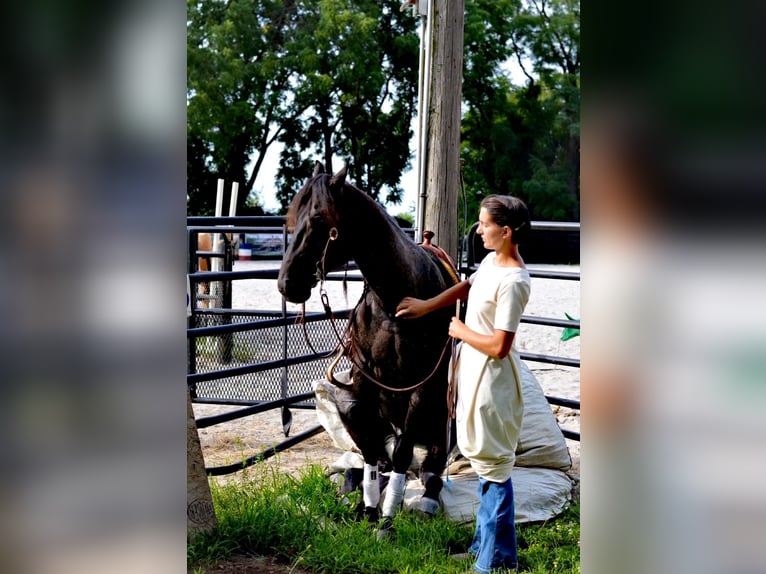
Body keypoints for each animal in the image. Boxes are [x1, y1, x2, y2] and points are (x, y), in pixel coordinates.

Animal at [282, 162, 460, 532]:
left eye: (318, 218)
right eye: (292, 218)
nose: (286, 283)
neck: (394, 302)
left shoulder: (419, 389)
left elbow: (403, 452)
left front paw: (386, 521)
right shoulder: (361, 385)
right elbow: (370, 451)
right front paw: (368, 508)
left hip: (440, 421)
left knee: (430, 469)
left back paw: (424, 501)